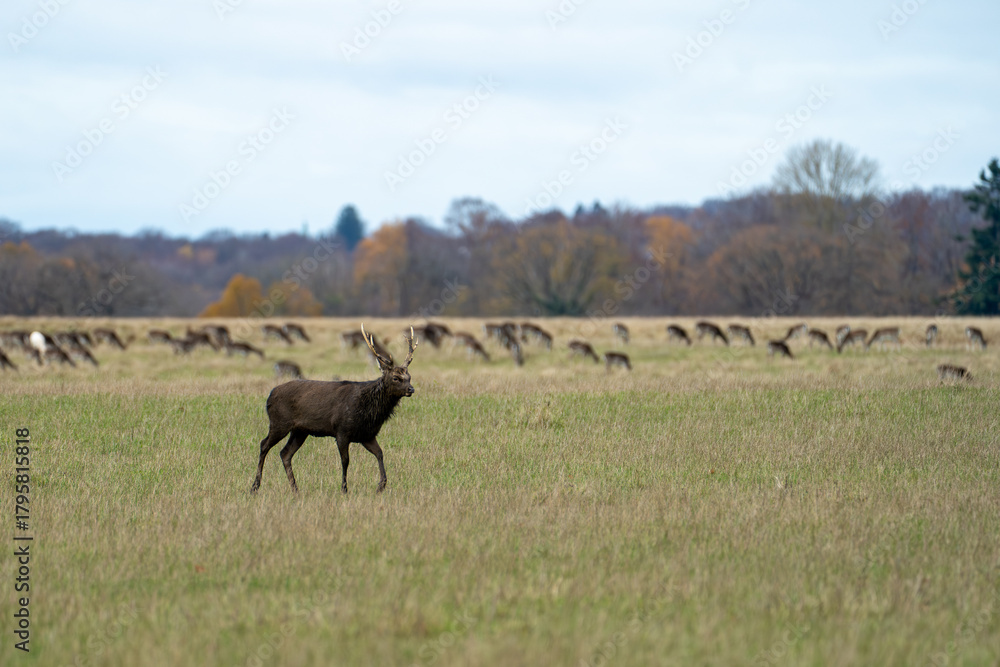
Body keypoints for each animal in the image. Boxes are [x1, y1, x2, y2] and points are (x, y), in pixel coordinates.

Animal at [250, 325, 418, 495]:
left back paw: (295, 489)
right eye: (396, 378)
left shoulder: (367, 435)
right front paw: (344, 488)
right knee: (264, 444)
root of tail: (269, 396)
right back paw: (255, 486)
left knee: (285, 453)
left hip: (300, 431)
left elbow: (380, 453)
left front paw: (381, 485)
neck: (368, 412)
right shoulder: (342, 431)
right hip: (279, 422)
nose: (411, 389)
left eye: (409, 377)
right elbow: (345, 461)